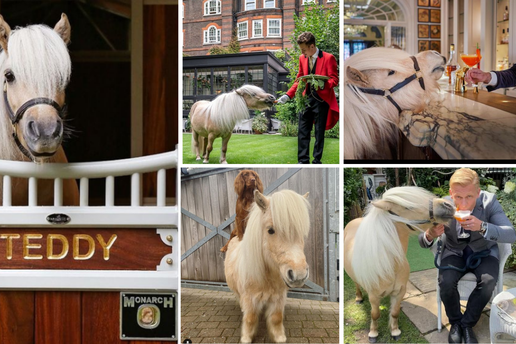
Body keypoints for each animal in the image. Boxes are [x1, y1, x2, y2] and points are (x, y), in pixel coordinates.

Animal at [224, 189, 308, 342]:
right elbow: (250, 318)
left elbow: (276, 318)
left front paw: (279, 337)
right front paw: (246, 338)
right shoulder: (249, 299)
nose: (299, 275)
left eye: (301, 232)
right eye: (270, 230)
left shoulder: (278, 298)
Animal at [344, 187, 454, 342]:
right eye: (408, 207)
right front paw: (373, 333)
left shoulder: (400, 291)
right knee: (357, 285)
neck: (389, 265)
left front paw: (395, 331)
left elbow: (395, 312)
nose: (448, 205)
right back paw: (359, 298)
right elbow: (375, 314)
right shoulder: (373, 295)